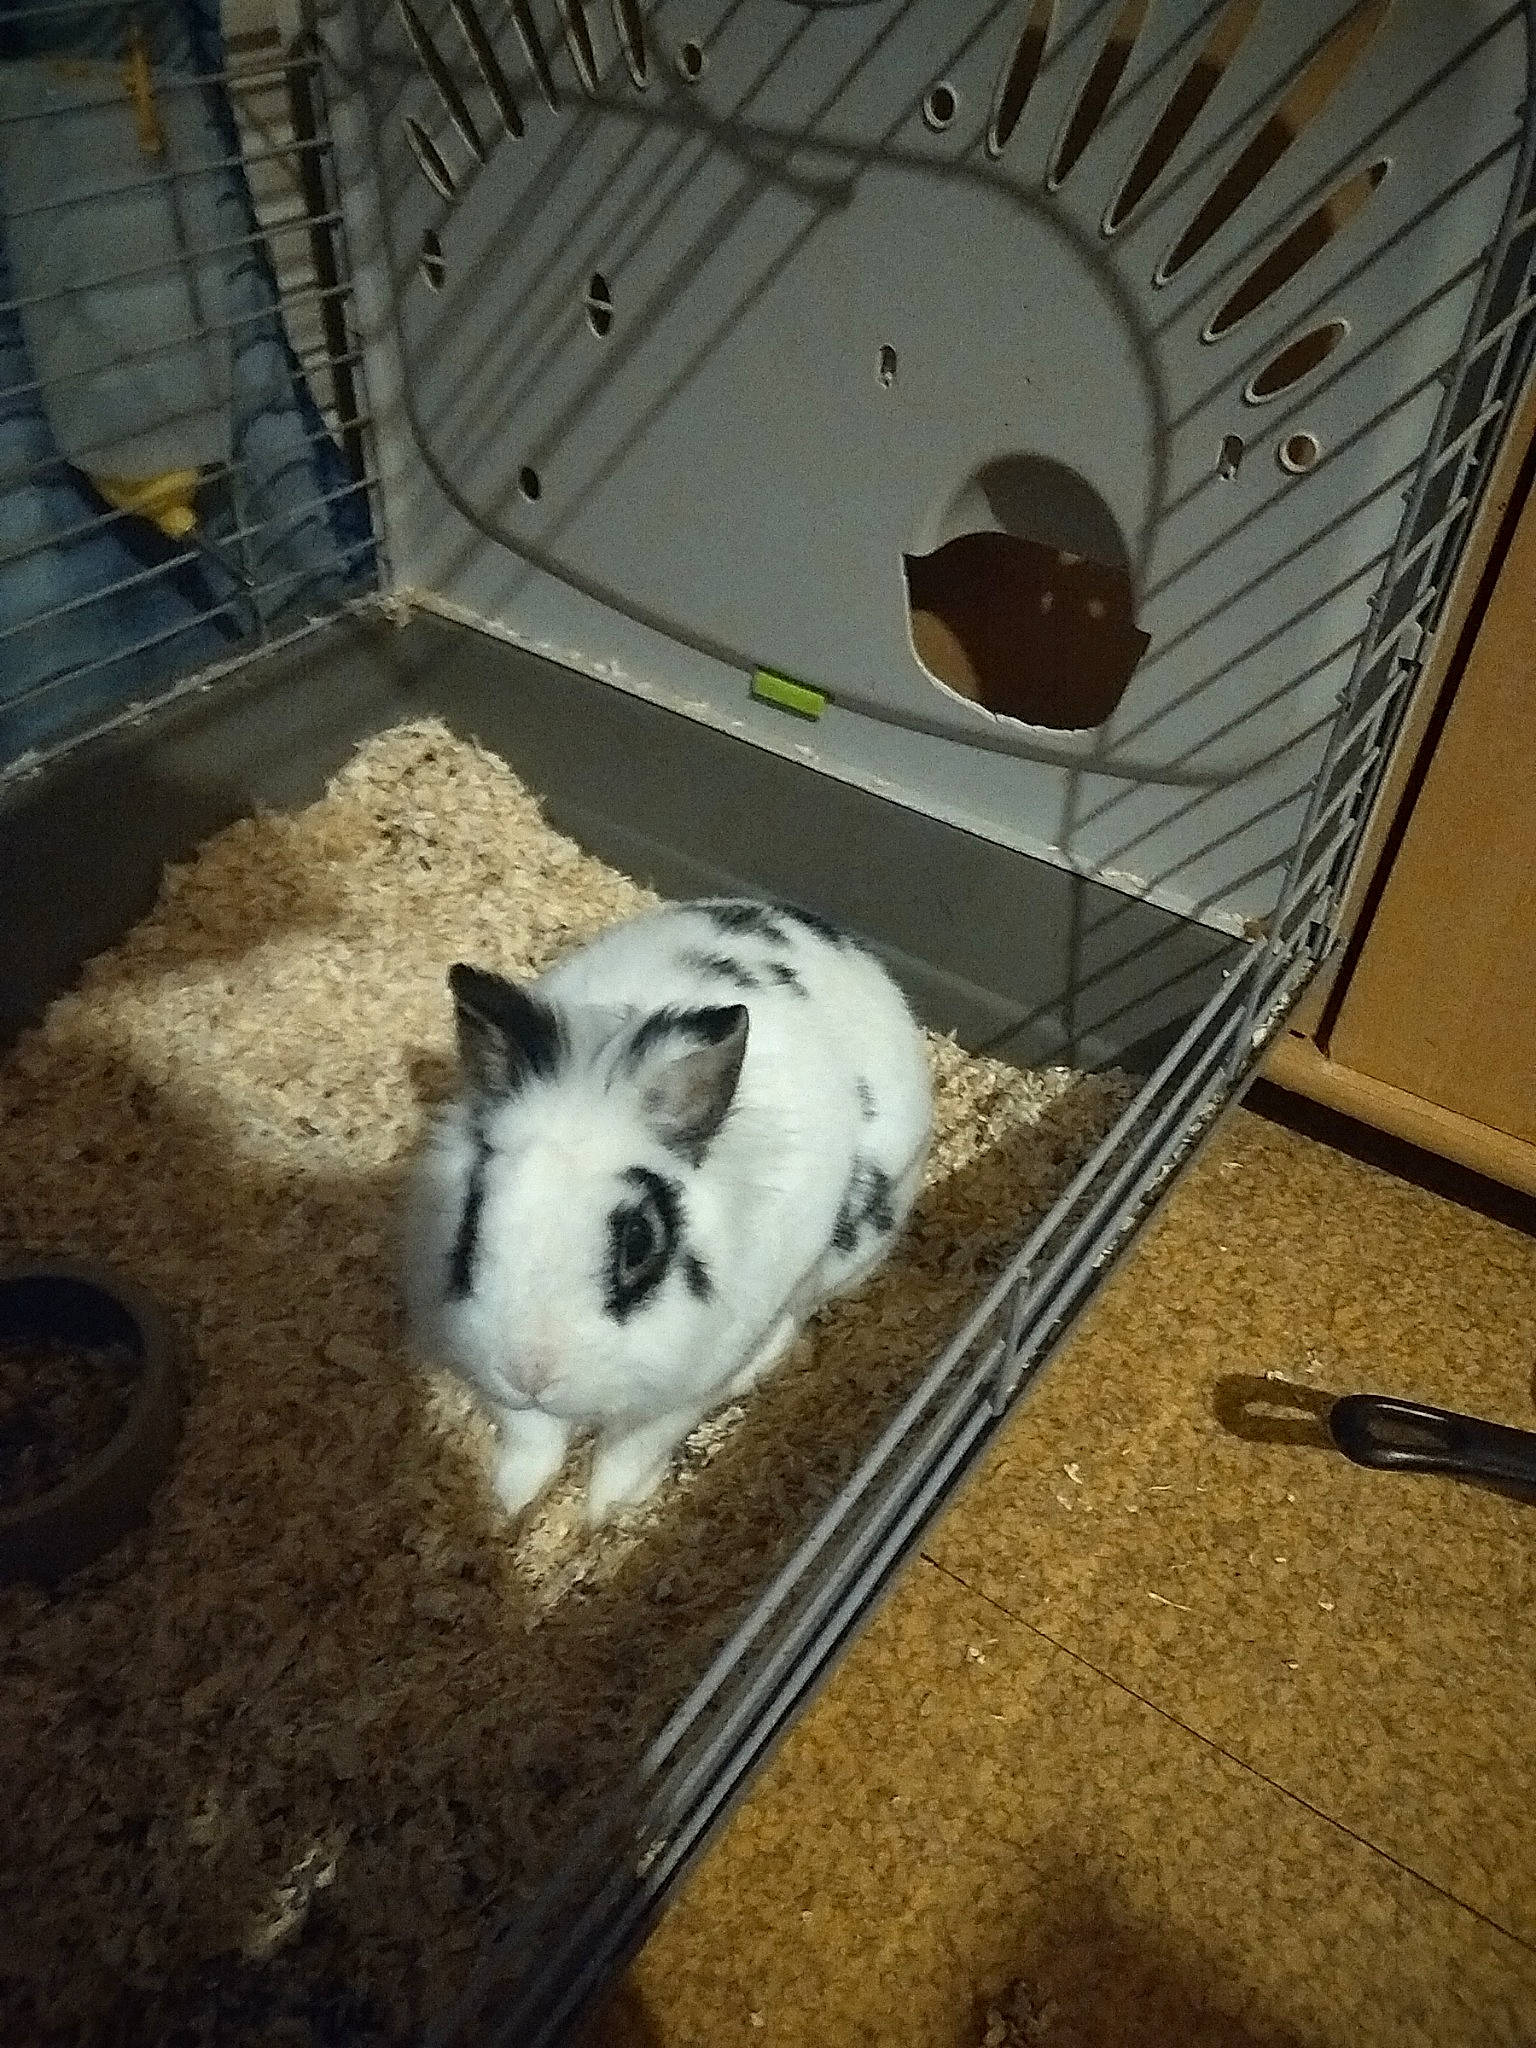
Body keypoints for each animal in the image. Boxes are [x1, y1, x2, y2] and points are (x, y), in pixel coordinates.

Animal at [403, 897, 934, 1524]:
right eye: (474, 1212)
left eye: (639, 1241)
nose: (530, 1371)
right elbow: (531, 1439)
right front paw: (510, 1501)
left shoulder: (691, 1381)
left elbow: (636, 1446)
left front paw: (605, 1511)